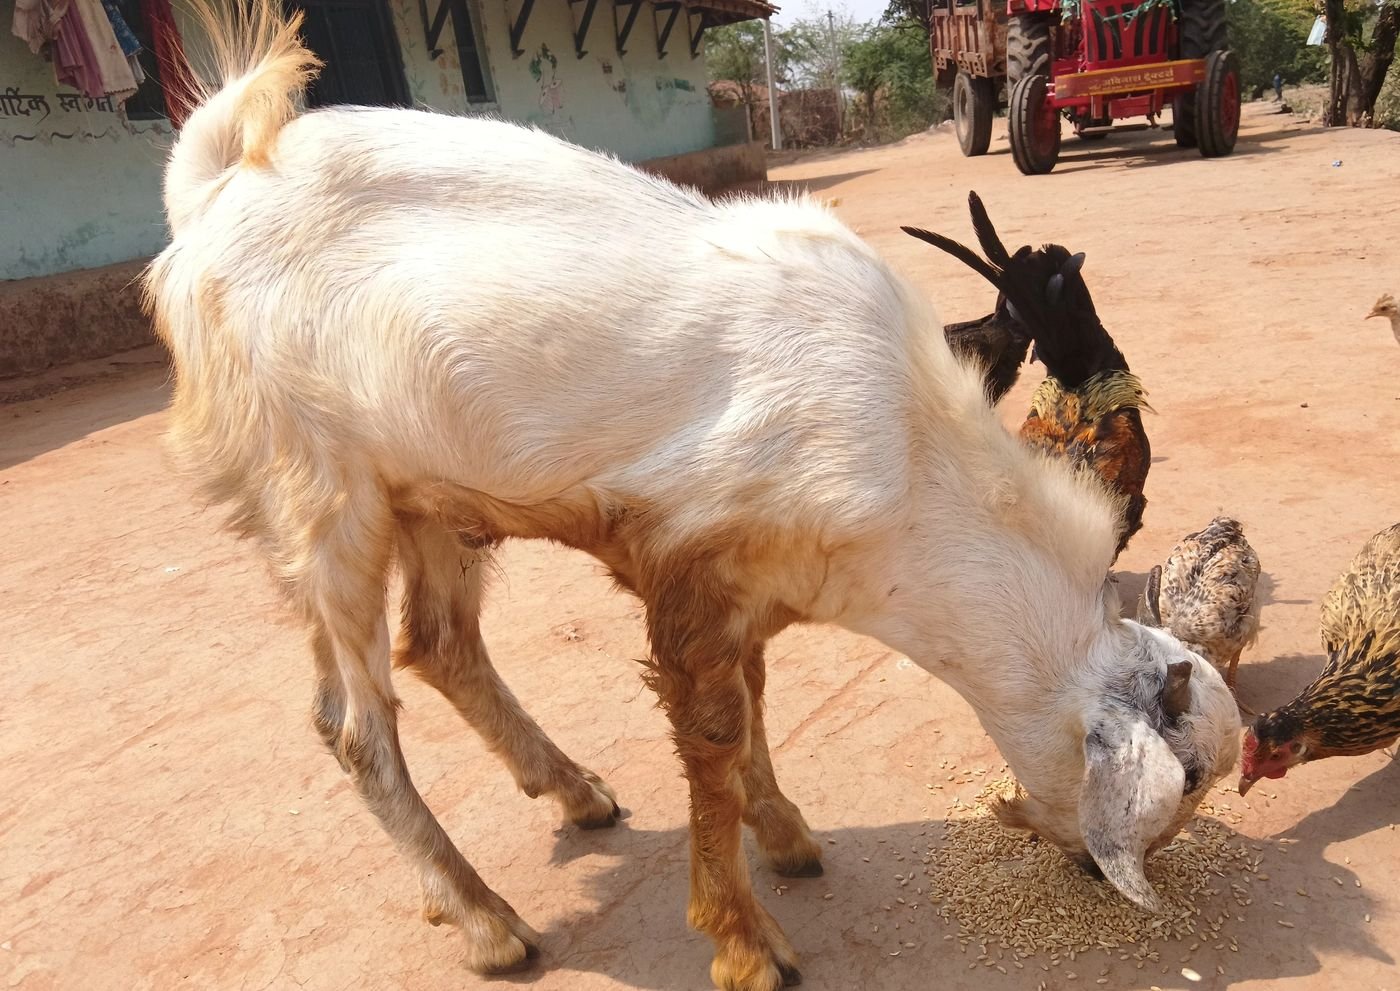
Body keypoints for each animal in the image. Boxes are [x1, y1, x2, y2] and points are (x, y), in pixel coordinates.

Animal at [144, 4, 1241, 989]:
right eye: (1185, 777)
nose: (1099, 870)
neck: (912, 455)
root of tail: (213, 193)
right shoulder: (687, 564)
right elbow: (712, 734)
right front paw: (746, 942)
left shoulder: (755, 581)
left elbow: (751, 702)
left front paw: (783, 830)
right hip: (316, 490)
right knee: (352, 723)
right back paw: (486, 920)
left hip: (430, 496)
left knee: (443, 644)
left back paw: (569, 795)